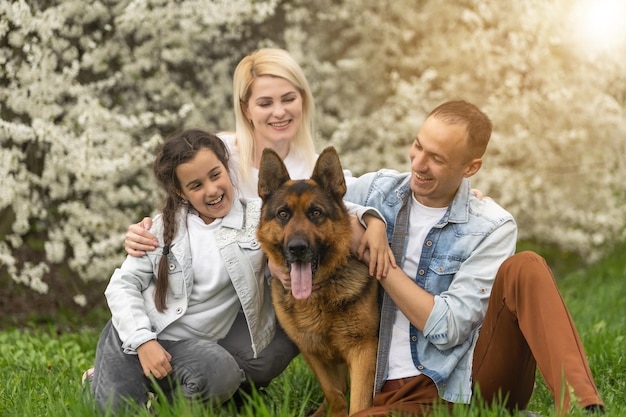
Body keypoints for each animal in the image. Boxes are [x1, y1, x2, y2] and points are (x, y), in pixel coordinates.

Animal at [256, 146, 378, 416]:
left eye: (316, 213)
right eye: (283, 214)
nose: (297, 248)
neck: (318, 294)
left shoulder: (363, 352)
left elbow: (358, 403)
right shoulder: (312, 350)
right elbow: (335, 395)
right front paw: (334, 410)